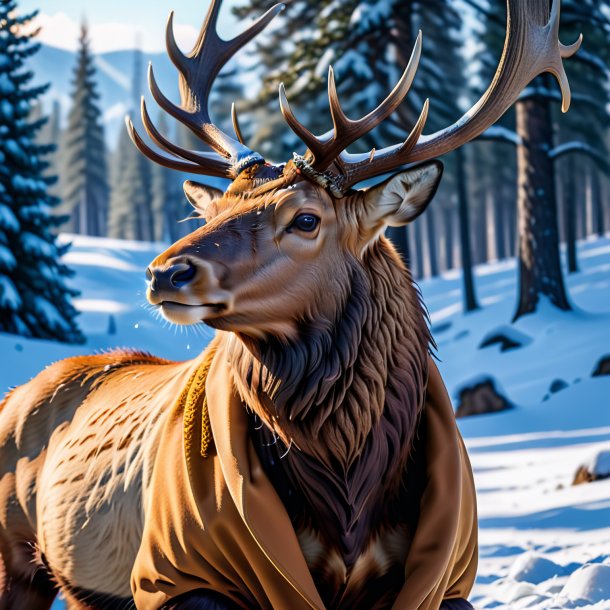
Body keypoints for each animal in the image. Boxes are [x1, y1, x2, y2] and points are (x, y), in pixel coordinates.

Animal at [0, 1, 576, 608]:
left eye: (305, 218)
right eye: (213, 211)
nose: (165, 272)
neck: (349, 491)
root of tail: (15, 394)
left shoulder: (444, 577)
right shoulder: (179, 574)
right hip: (18, 557)